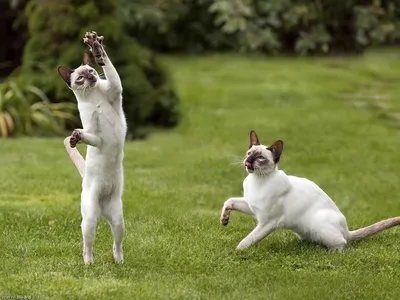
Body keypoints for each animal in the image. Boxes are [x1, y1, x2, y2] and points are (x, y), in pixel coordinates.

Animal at [57, 31, 126, 264]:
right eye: (79, 78)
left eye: (91, 70)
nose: (91, 78)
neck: (93, 95)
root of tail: (102, 212)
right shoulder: (95, 134)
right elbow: (86, 135)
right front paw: (75, 137)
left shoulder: (115, 90)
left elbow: (111, 70)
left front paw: (96, 48)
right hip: (89, 222)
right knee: (87, 246)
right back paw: (89, 264)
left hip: (118, 221)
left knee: (117, 244)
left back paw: (119, 262)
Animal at [220, 131, 400, 251]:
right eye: (249, 153)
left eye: (260, 158)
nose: (248, 161)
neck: (257, 181)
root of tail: (347, 230)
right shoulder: (252, 208)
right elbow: (229, 201)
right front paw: (224, 220)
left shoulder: (267, 222)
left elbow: (247, 240)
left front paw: (237, 252)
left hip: (320, 224)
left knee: (342, 243)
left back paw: (329, 252)